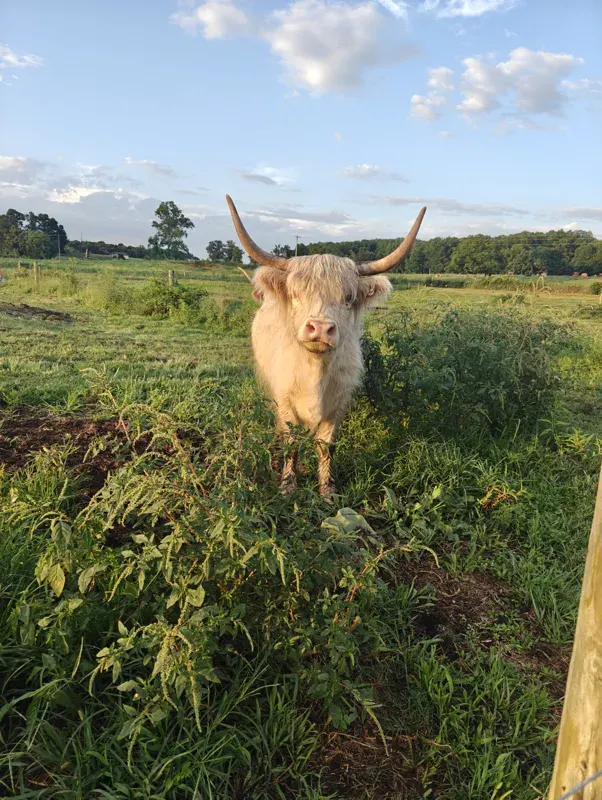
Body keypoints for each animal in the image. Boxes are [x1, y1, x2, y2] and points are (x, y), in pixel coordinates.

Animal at [226, 195, 427, 498]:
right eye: (296, 294)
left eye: (348, 297)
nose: (320, 328)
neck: (315, 372)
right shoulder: (285, 400)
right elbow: (292, 441)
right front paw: (288, 484)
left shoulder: (339, 402)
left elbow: (326, 445)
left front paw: (327, 488)